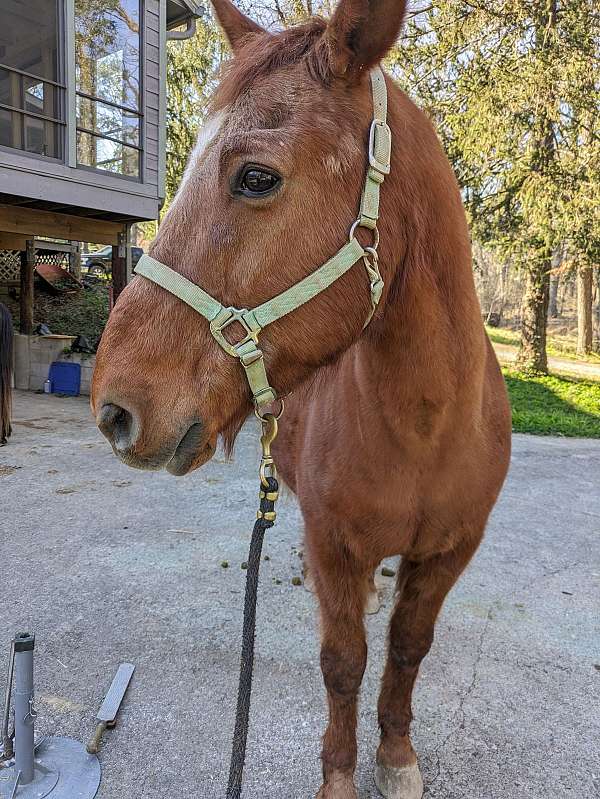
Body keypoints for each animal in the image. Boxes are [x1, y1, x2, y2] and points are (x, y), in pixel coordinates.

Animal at [92, 0, 510, 796]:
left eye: (256, 177)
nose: (113, 408)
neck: (428, 426)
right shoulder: (335, 543)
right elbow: (343, 663)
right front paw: (341, 774)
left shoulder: (452, 550)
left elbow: (408, 649)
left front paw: (397, 756)